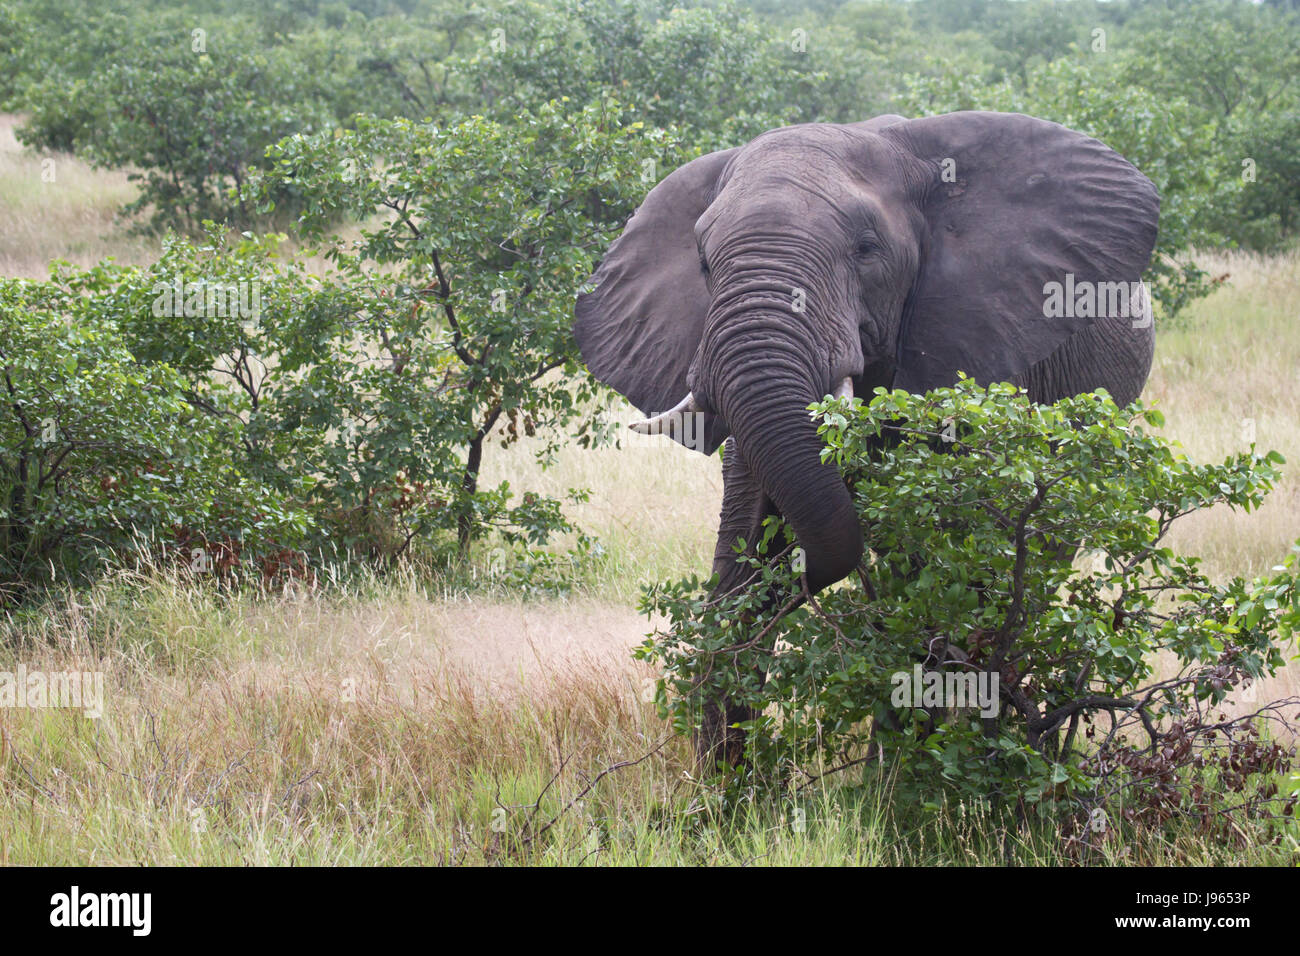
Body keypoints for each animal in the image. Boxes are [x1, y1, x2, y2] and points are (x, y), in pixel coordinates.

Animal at [572, 110, 1159, 770]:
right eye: (701, 261)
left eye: (867, 249)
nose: (803, 583)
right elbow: (747, 535)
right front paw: (724, 792)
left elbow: (937, 566)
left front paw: (892, 789)